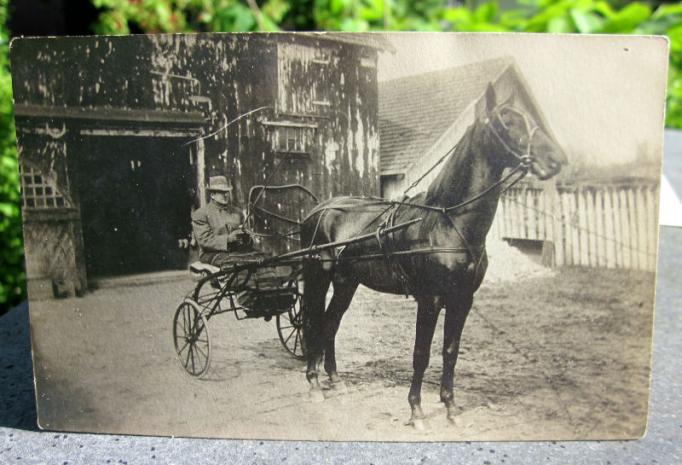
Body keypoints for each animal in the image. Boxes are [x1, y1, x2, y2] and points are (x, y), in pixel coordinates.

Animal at [300, 83, 564, 428]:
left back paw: (334, 379)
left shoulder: (463, 299)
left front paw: (450, 407)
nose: (557, 159)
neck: (447, 221)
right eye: (507, 120)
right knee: (314, 322)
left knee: (331, 322)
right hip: (318, 276)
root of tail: (319, 209)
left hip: (347, 281)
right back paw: (314, 383)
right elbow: (421, 354)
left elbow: (450, 351)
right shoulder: (430, 299)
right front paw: (416, 411)